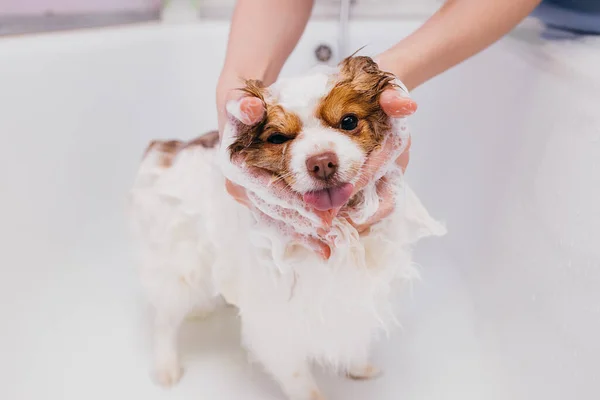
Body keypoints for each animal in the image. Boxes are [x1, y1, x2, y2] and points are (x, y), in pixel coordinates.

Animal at [129, 56, 442, 400]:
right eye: (278, 138)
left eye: (348, 121)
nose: (322, 162)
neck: (341, 236)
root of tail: (167, 150)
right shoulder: (278, 324)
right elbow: (301, 382)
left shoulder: (356, 297)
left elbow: (354, 338)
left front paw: (359, 368)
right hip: (179, 269)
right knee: (165, 322)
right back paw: (166, 367)